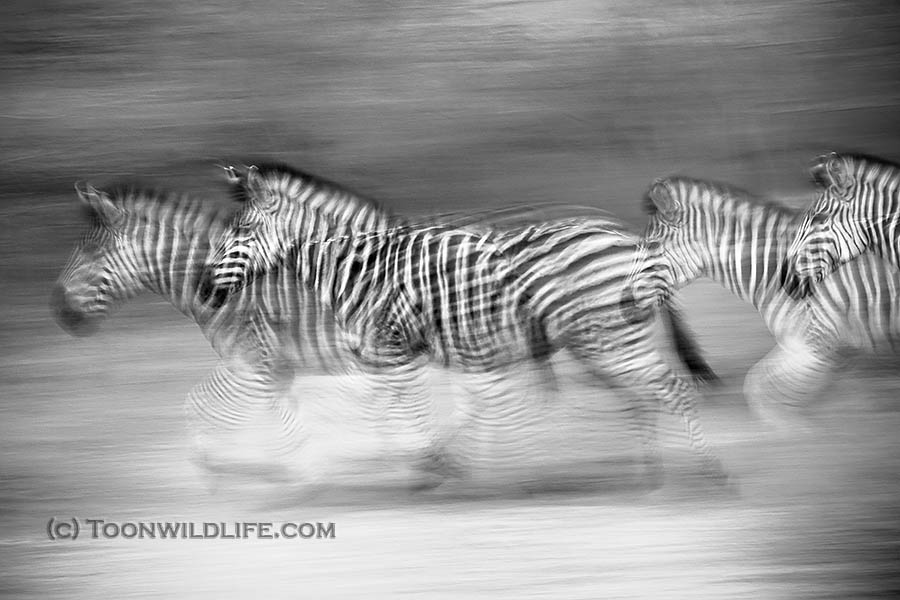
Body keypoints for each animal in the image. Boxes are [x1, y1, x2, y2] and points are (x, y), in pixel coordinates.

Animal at [51, 182, 440, 486]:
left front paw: (220, 470)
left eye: (92, 251)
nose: (60, 314)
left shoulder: (251, 364)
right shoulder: (273, 371)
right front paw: (298, 463)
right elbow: (279, 417)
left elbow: (198, 404)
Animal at [201, 162, 731, 487]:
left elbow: (406, 408)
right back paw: (648, 473)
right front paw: (421, 461)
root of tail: (628, 238)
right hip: (598, 339)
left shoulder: (392, 349)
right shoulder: (388, 356)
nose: (205, 290)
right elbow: (394, 408)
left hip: (607, 337)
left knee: (669, 388)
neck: (363, 265)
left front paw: (430, 463)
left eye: (242, 231)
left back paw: (708, 473)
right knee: (644, 396)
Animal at [628, 175, 900, 425]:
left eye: (652, 245)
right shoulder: (805, 346)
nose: (627, 300)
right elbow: (758, 384)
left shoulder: (813, 345)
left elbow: (757, 386)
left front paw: (792, 426)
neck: (770, 271)